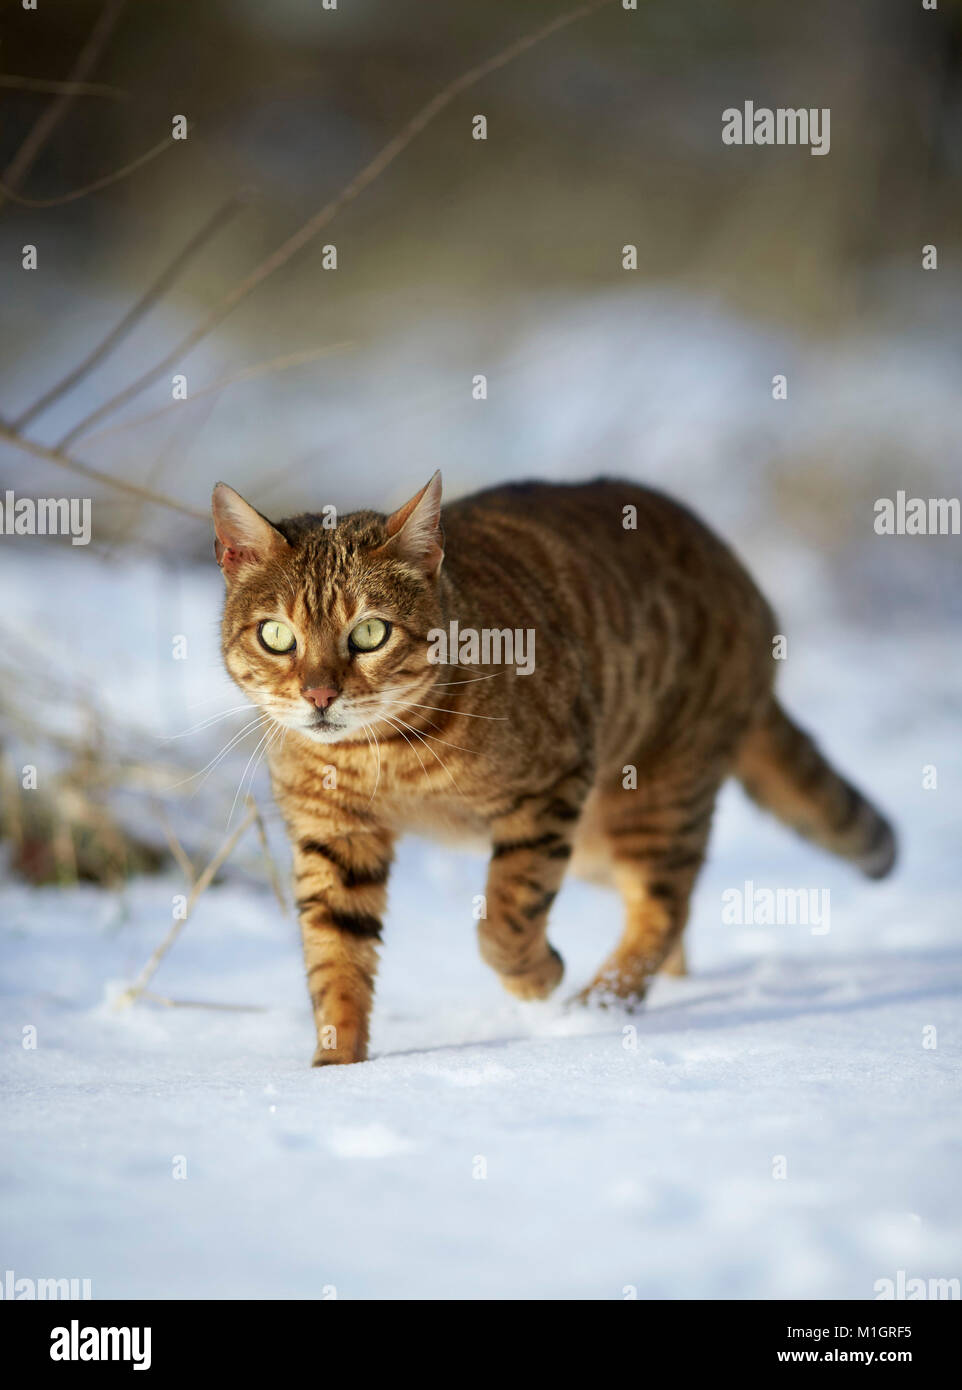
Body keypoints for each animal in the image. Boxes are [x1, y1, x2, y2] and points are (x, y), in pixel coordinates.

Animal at [209, 472, 895, 1067]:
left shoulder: (549, 789)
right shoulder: (333, 833)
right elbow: (335, 956)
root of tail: (746, 584)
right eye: (276, 636)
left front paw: (537, 977)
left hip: (656, 796)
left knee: (662, 908)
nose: (319, 695)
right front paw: (336, 1068)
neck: (383, 755)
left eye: (371, 633)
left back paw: (599, 1005)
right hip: (603, 841)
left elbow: (507, 911)